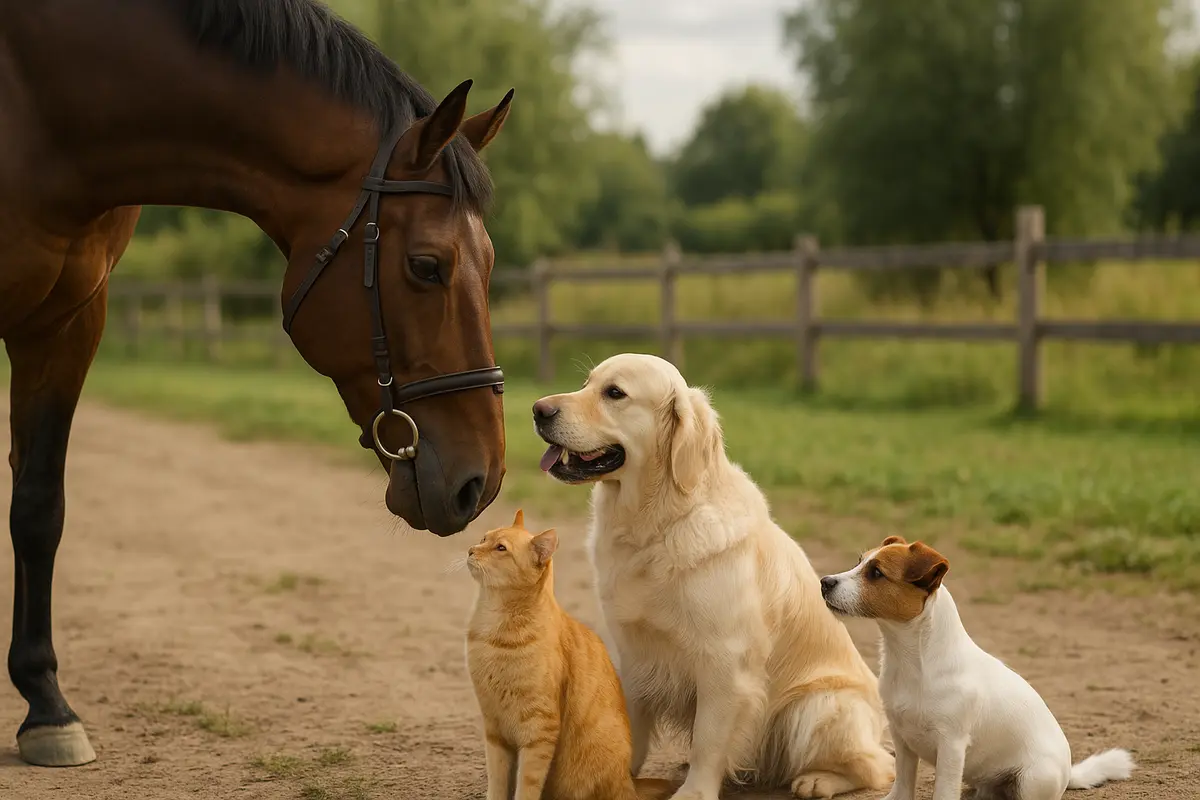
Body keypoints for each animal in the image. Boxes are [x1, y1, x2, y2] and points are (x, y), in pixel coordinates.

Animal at [1, 0, 514, 767]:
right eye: (427, 266)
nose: (481, 481)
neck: (46, 107)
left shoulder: (67, 322)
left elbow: (37, 508)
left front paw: (46, 707)